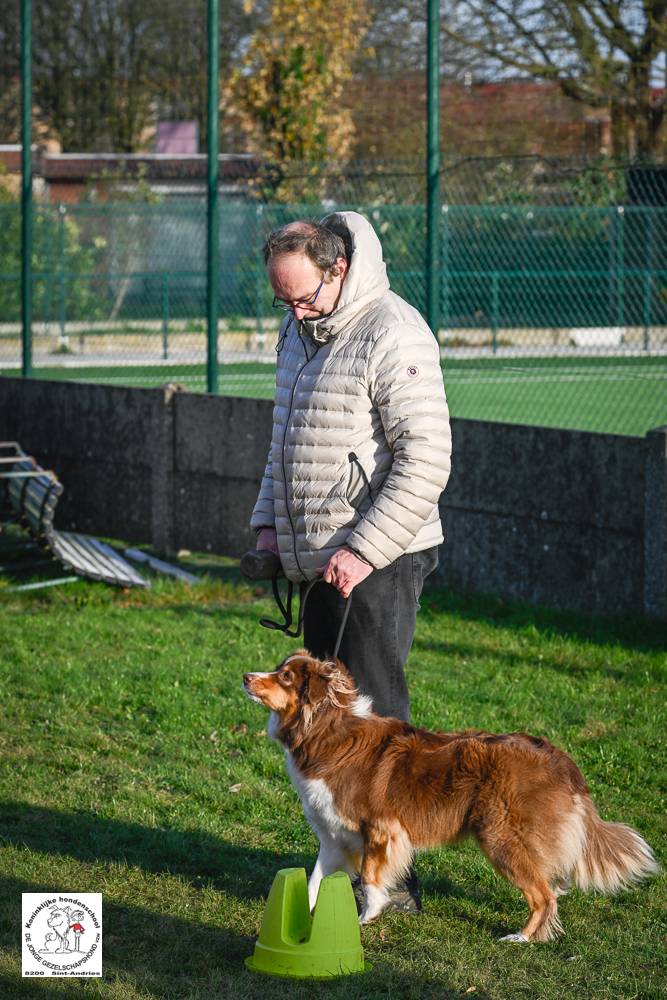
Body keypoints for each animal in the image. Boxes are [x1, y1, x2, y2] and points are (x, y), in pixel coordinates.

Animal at [244, 652, 656, 940]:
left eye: (285, 677)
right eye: (279, 668)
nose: (246, 676)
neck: (326, 731)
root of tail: (561, 758)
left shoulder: (381, 830)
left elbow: (372, 878)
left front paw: (366, 918)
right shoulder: (336, 838)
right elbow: (313, 880)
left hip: (502, 839)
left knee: (543, 896)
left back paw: (521, 938)